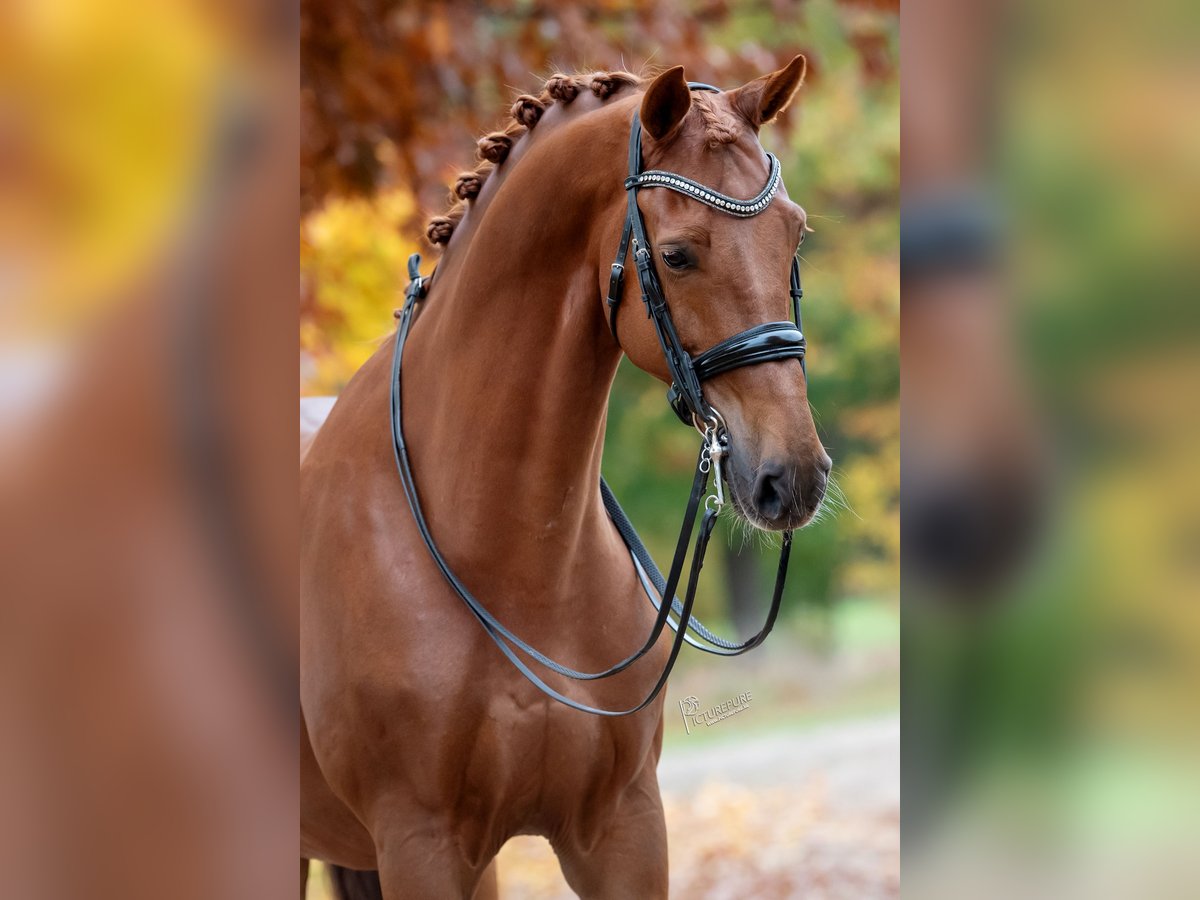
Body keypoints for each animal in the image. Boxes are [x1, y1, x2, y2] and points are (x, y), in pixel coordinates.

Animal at [300, 58, 830, 899]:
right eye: (676, 255)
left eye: (794, 233)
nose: (794, 476)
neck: (513, 563)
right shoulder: (421, 845)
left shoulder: (622, 829)